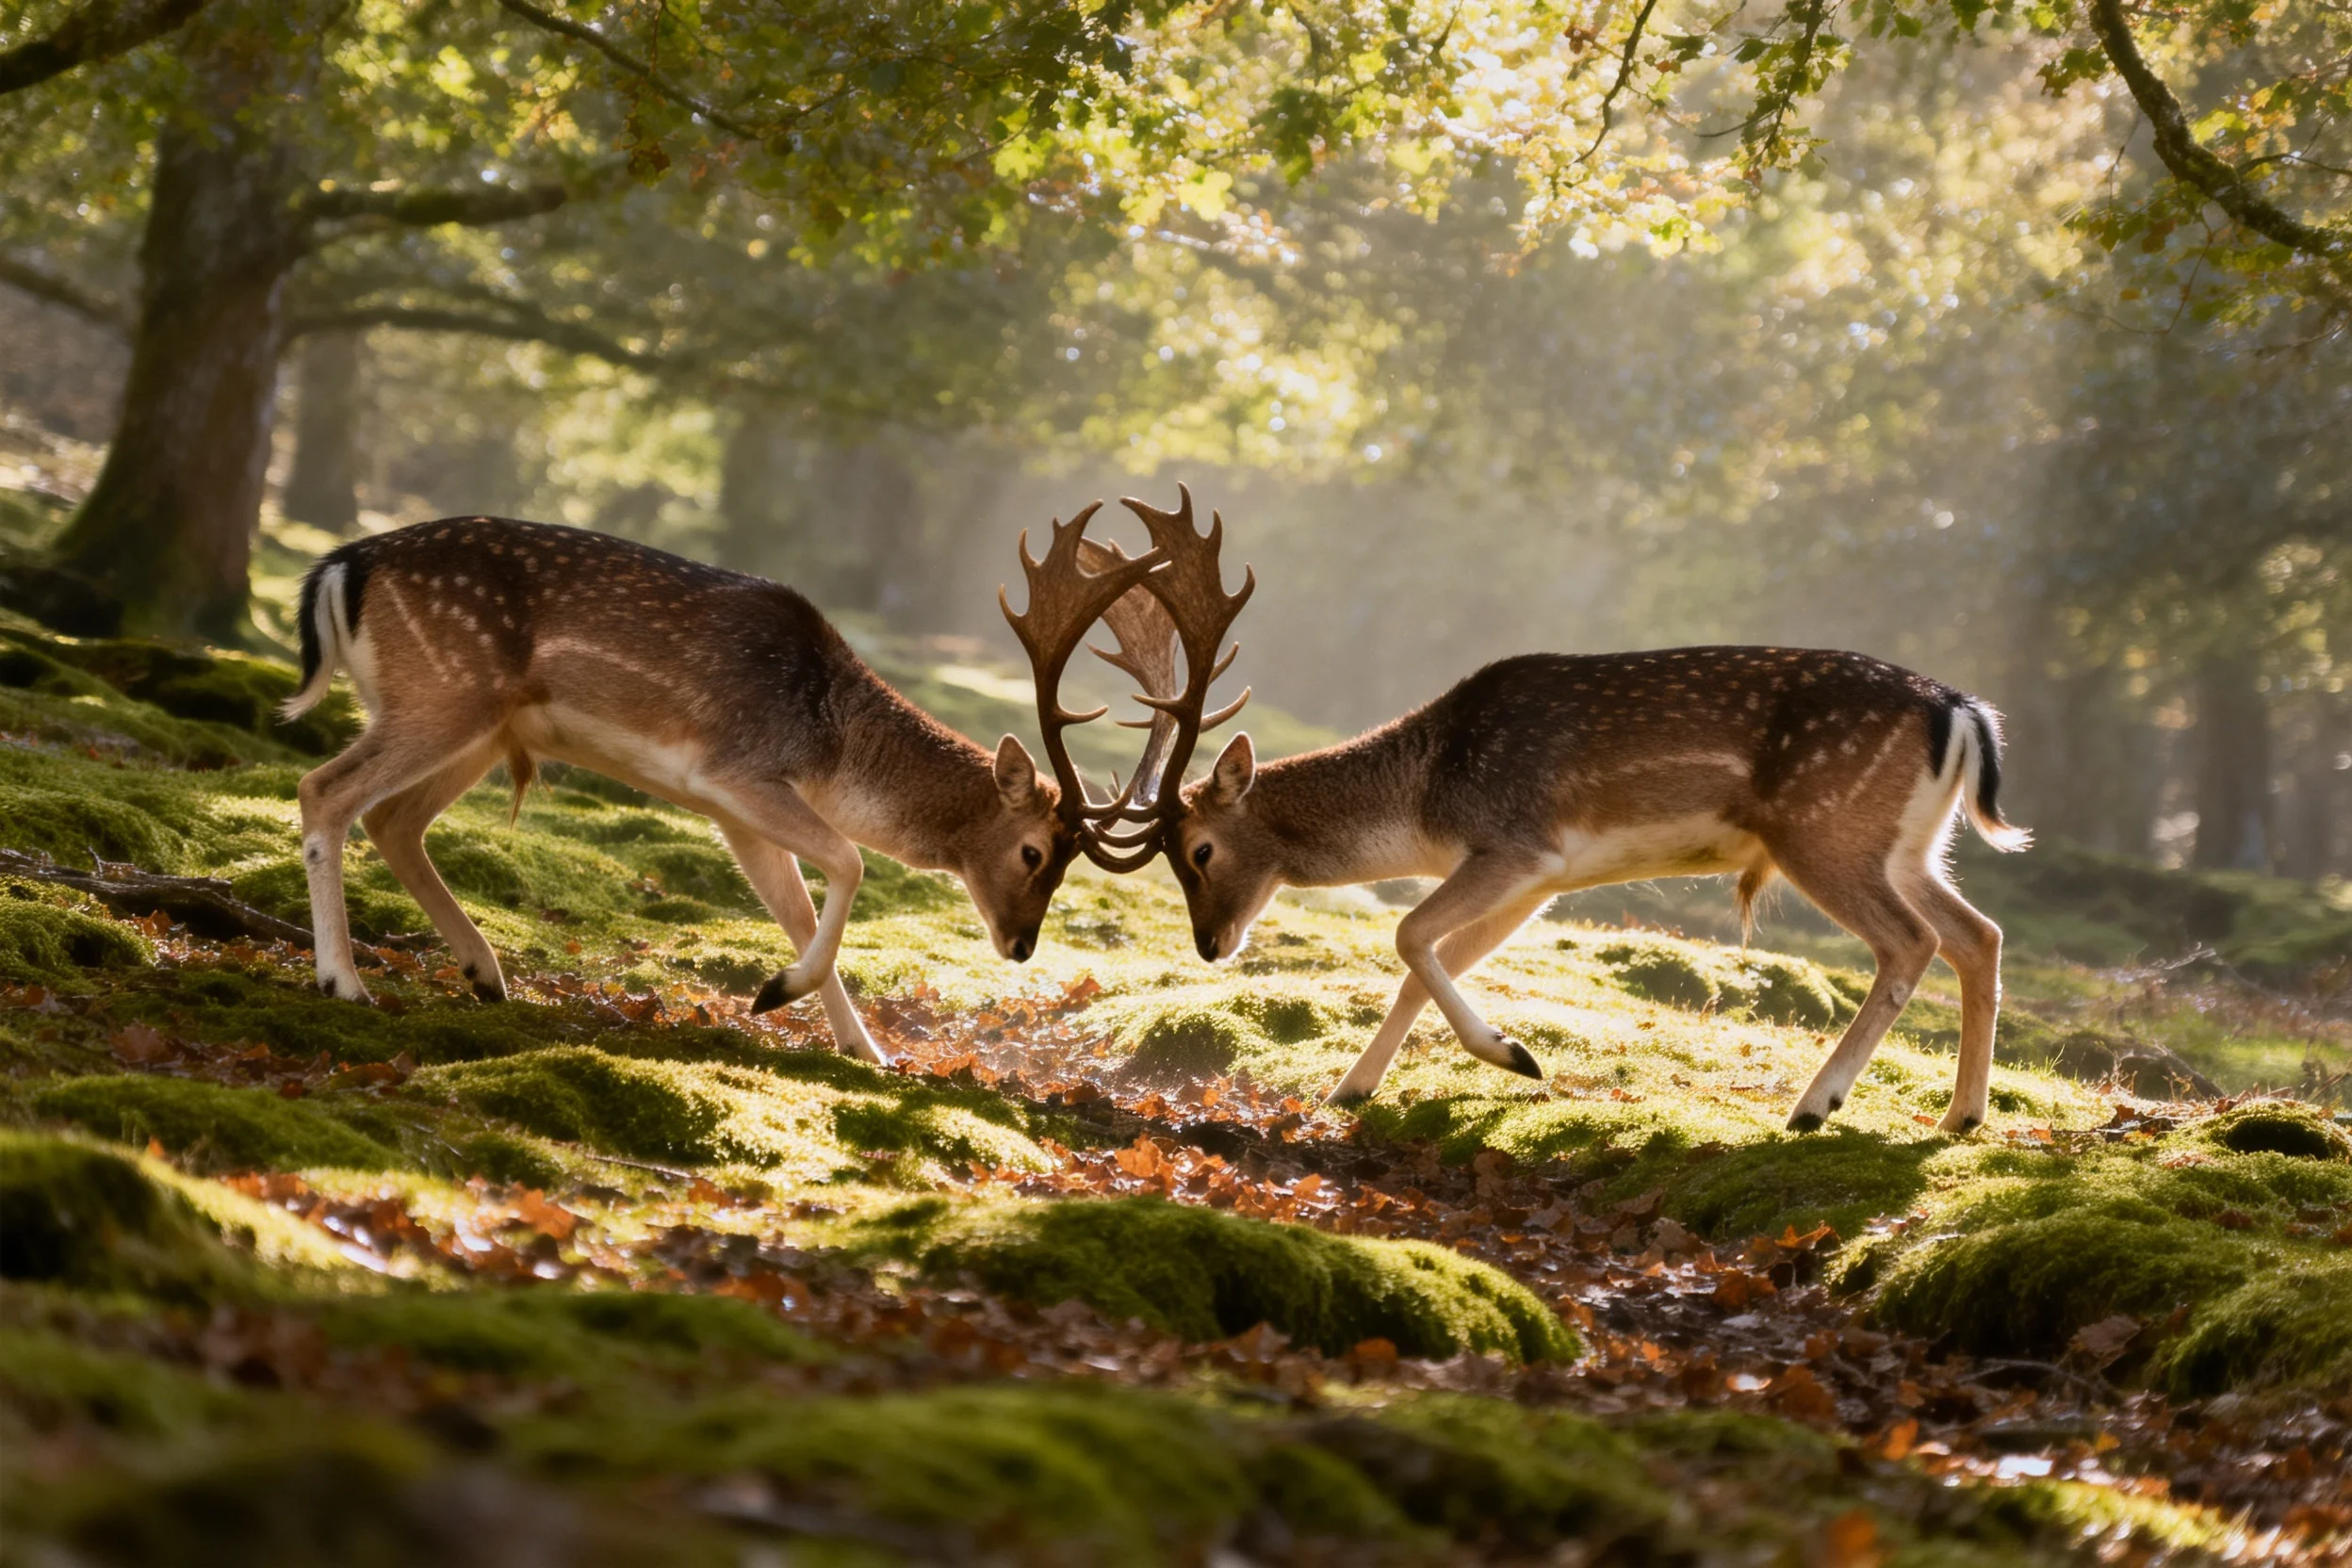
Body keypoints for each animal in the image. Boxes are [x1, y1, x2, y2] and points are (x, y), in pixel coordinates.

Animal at [278, 513, 1171, 1061]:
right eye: (1033, 852)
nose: (1022, 945)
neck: (832, 749)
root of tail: (339, 567)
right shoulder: (733, 768)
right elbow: (851, 862)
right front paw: (776, 993)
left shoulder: (734, 811)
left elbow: (798, 906)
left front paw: (866, 1050)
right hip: (446, 692)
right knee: (325, 790)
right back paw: (345, 982)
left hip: (486, 726)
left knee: (394, 820)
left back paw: (484, 973)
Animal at [1078, 486, 2030, 1136]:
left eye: (1199, 850)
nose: (1209, 945)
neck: (1425, 804)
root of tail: (1962, 711)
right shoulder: (1542, 880)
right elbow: (1426, 960)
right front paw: (1351, 1088)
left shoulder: (1516, 844)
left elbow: (1407, 935)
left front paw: (1515, 1057)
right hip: (1907, 844)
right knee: (1980, 934)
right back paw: (1961, 1117)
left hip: (1824, 830)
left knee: (1913, 941)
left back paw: (1814, 1105)